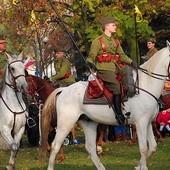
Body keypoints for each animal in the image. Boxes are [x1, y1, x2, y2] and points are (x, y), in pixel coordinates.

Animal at [40, 41, 170, 170]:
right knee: (55, 146)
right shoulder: (140, 123)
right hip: (65, 123)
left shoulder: (147, 123)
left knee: (90, 148)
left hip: (88, 123)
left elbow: (152, 147)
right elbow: (143, 149)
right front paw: (141, 165)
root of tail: (63, 90)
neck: (145, 85)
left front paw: (139, 165)